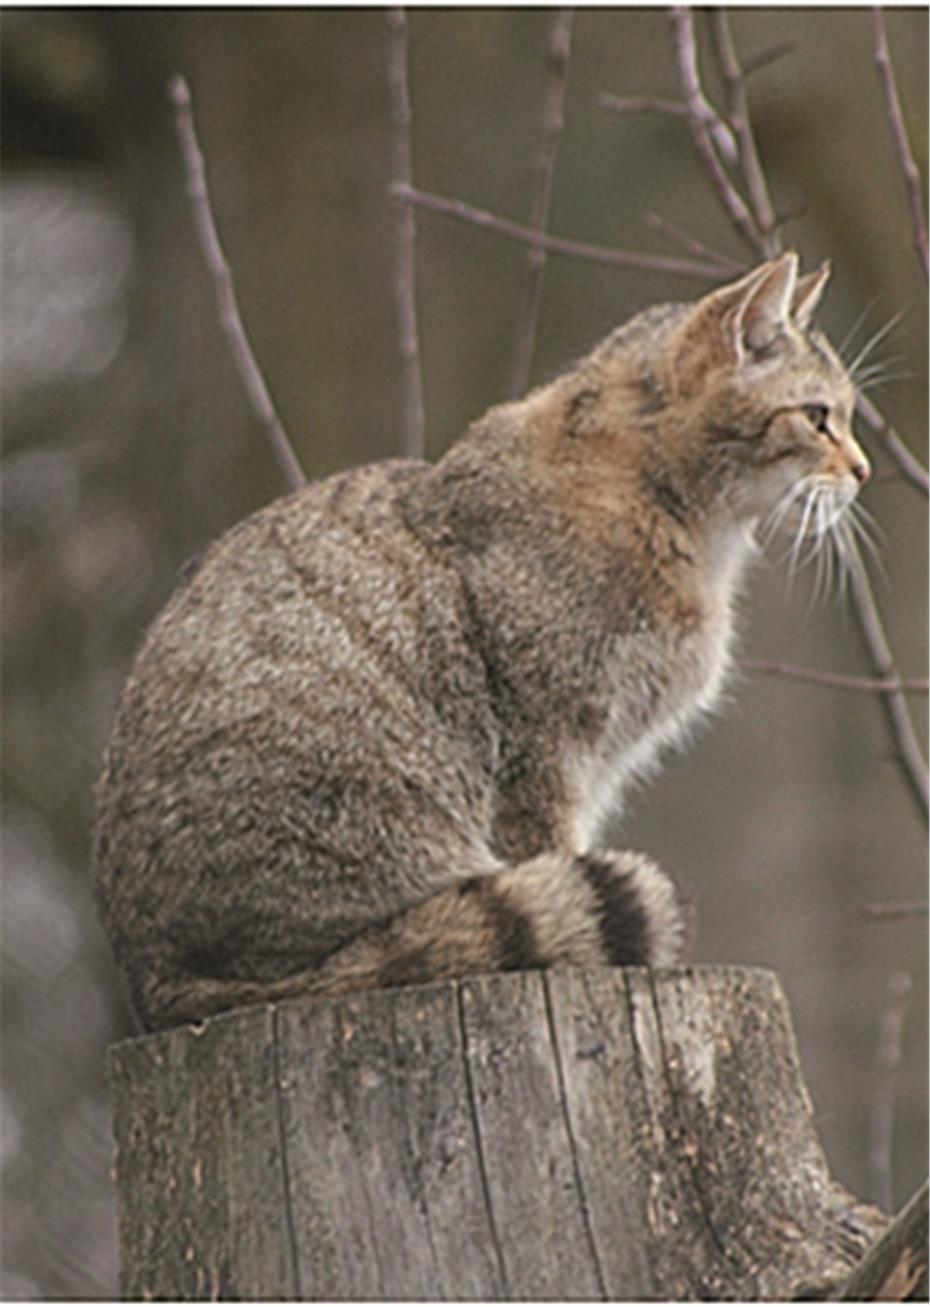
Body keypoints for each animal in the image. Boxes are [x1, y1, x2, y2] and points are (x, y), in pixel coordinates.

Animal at [90, 252, 867, 1029]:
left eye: (849, 416)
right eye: (818, 417)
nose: (862, 471)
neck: (677, 512)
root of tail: (158, 984)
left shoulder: (597, 758)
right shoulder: (545, 742)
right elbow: (552, 840)